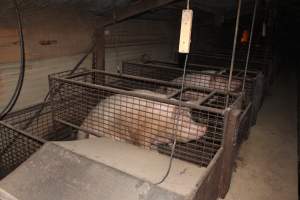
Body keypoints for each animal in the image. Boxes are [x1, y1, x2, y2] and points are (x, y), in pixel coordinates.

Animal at [77, 89, 207, 147]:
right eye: (183, 121)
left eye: (191, 117)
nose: (205, 127)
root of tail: (84, 123)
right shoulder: (145, 130)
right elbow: (143, 142)